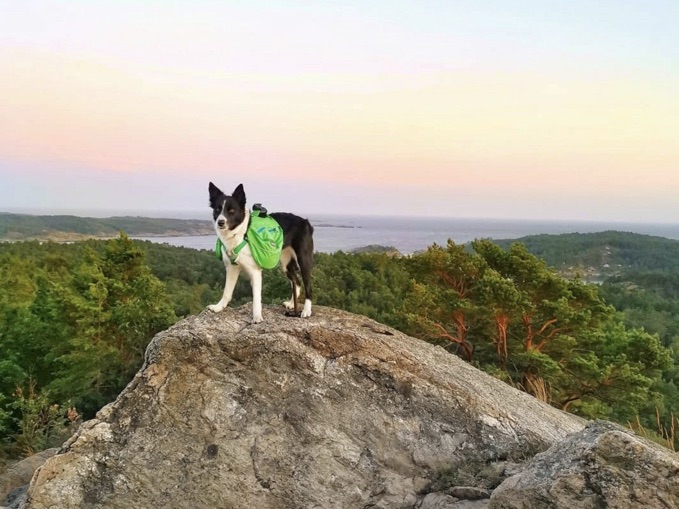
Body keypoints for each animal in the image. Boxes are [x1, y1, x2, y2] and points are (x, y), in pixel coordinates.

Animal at [209, 182, 314, 322]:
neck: (241, 233)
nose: (220, 222)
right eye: (217, 209)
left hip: (303, 260)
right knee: (296, 282)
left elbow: (256, 298)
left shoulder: (255, 272)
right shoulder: (232, 268)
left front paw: (257, 317)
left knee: (308, 286)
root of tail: (305, 221)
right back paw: (292, 304)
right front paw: (219, 307)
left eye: (231, 211)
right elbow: (227, 292)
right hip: (286, 264)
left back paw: (307, 310)